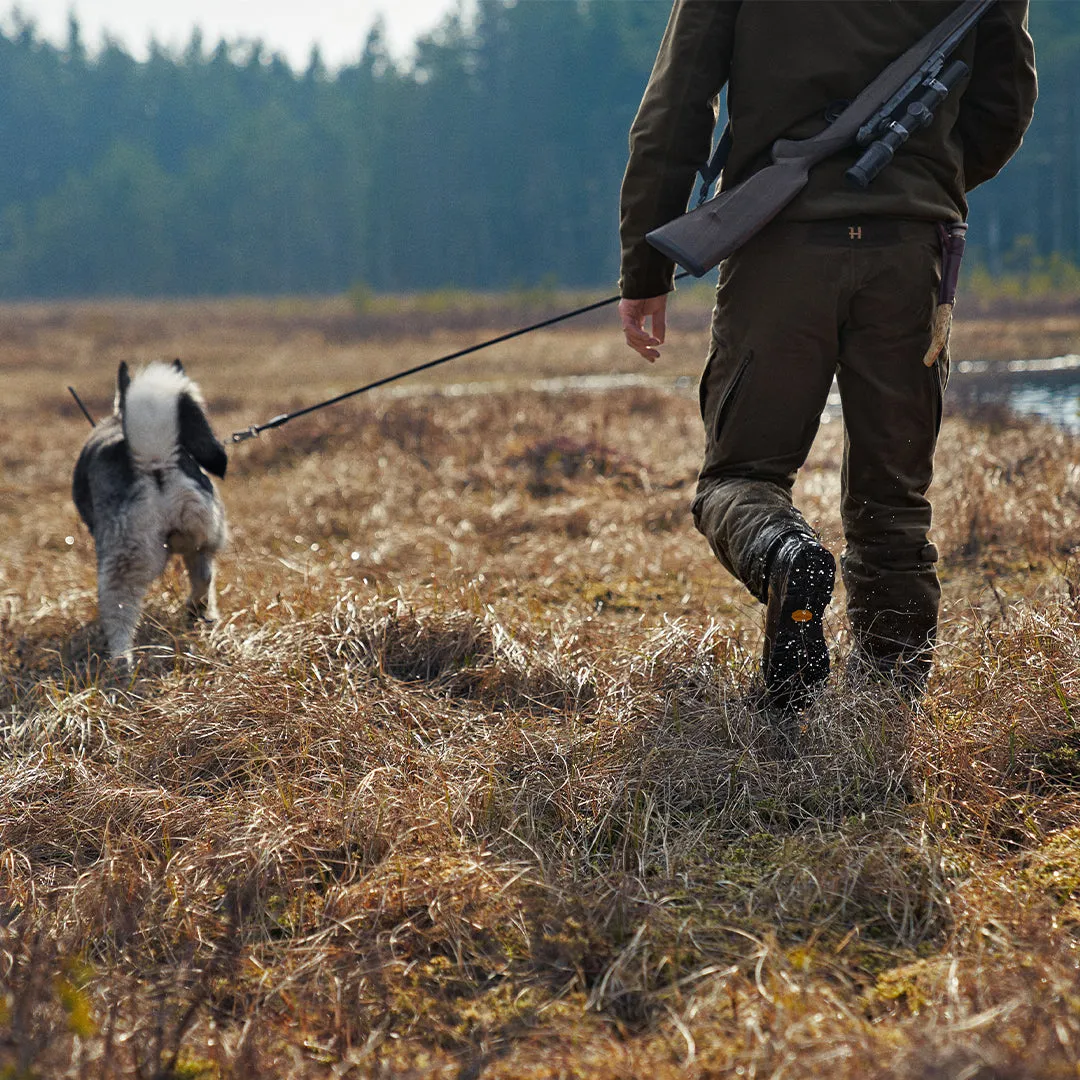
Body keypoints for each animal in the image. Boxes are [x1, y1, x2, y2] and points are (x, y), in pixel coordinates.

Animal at [73, 362, 232, 665]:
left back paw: (120, 659)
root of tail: (157, 462)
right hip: (203, 538)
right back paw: (199, 612)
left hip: (123, 560)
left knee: (119, 609)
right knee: (203, 578)